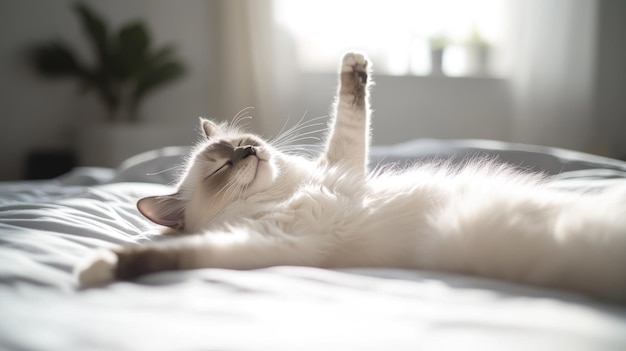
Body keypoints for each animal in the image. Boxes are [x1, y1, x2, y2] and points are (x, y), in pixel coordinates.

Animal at [77, 52, 624, 302]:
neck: (289, 190)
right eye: (222, 167)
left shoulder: (340, 166)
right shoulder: (269, 242)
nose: (250, 150)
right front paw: (95, 267)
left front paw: (355, 65)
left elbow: (351, 111)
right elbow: (165, 255)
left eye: (241, 144)